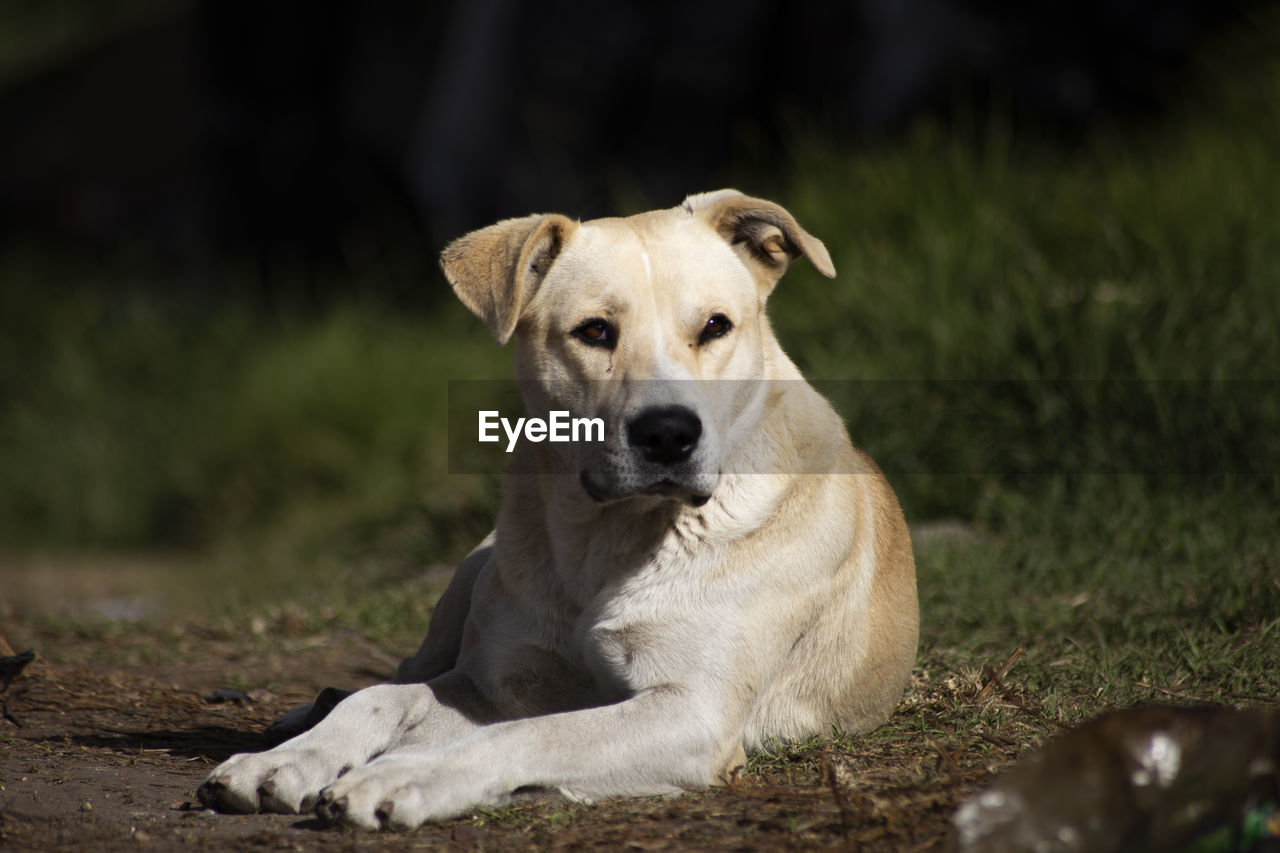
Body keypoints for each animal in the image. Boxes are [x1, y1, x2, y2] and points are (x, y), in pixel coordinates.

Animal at [197, 190, 921, 824]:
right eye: (594, 331)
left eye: (715, 326)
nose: (668, 433)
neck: (604, 539)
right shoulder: (494, 684)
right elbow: (384, 698)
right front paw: (289, 759)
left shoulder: (691, 711)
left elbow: (531, 735)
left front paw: (402, 774)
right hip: (468, 576)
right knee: (395, 674)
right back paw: (300, 720)